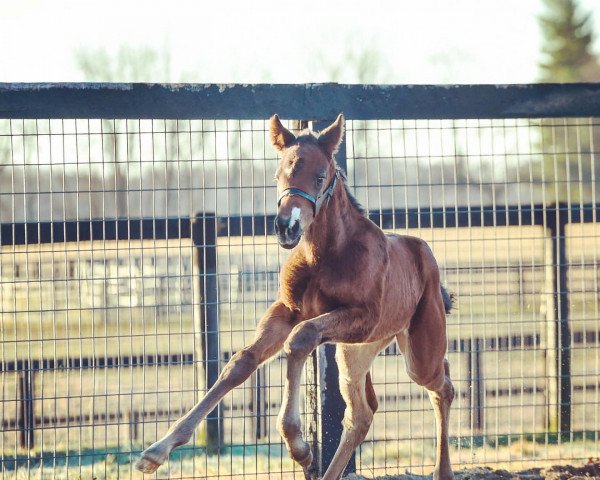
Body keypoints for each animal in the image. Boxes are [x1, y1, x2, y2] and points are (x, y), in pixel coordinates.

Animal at [137, 114, 454, 478]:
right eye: (278, 175)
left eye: (319, 176)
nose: (286, 226)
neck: (325, 255)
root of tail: (425, 255)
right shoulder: (287, 310)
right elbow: (241, 362)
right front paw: (157, 450)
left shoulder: (362, 316)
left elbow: (301, 338)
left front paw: (300, 447)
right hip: (354, 352)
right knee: (361, 414)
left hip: (417, 352)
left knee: (442, 386)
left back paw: (442, 471)